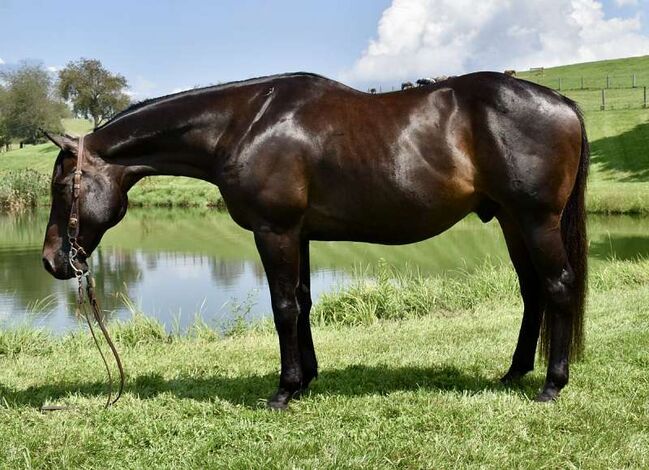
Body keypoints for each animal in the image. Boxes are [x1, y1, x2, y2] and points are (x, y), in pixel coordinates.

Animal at [42, 71, 589, 410]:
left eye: (61, 187)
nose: (51, 261)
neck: (245, 124)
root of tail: (562, 103)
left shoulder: (275, 232)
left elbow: (283, 306)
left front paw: (284, 391)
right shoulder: (298, 234)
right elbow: (302, 302)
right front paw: (306, 380)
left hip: (536, 220)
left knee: (559, 286)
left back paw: (551, 385)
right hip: (513, 222)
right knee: (533, 292)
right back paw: (514, 373)